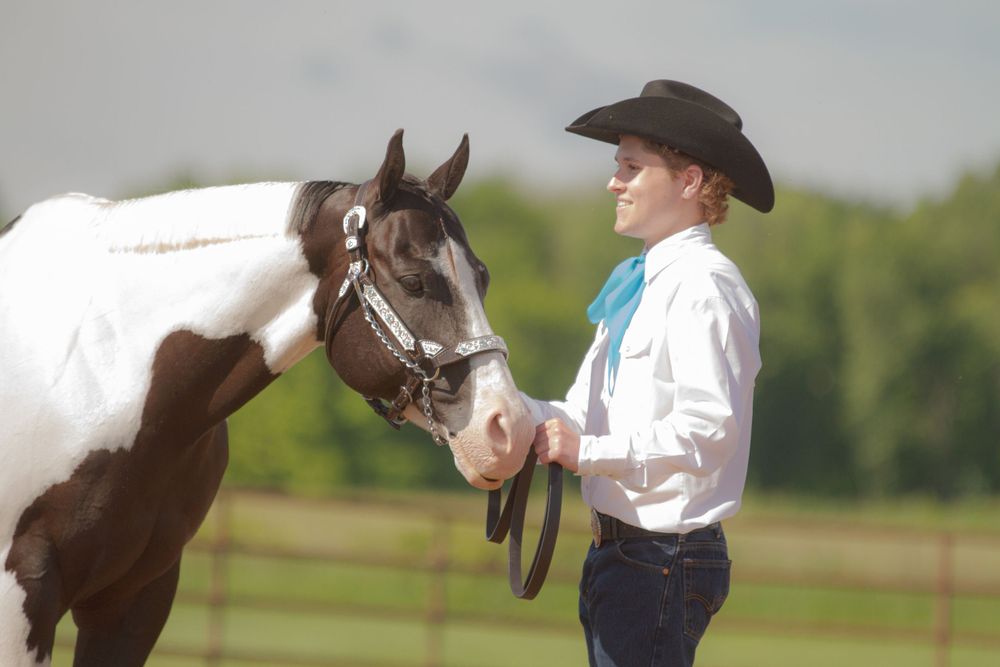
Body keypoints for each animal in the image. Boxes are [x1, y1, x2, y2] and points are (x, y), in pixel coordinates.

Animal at [0, 130, 536, 666]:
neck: (100, 369)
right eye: (412, 281)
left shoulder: (136, 600)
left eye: (483, 277)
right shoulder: (23, 595)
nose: (508, 427)